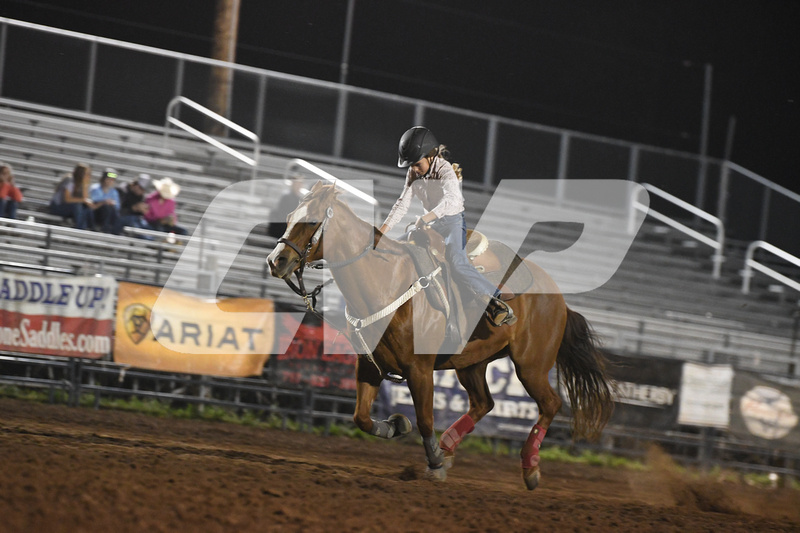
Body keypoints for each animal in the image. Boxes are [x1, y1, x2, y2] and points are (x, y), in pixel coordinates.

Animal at [266, 181, 616, 488]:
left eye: (311, 222)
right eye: (289, 216)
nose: (275, 261)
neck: (387, 281)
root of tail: (560, 300)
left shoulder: (419, 370)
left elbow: (424, 419)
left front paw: (433, 464)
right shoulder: (368, 365)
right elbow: (361, 418)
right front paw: (397, 426)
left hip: (531, 365)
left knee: (550, 404)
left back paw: (529, 467)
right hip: (472, 363)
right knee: (483, 403)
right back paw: (447, 447)